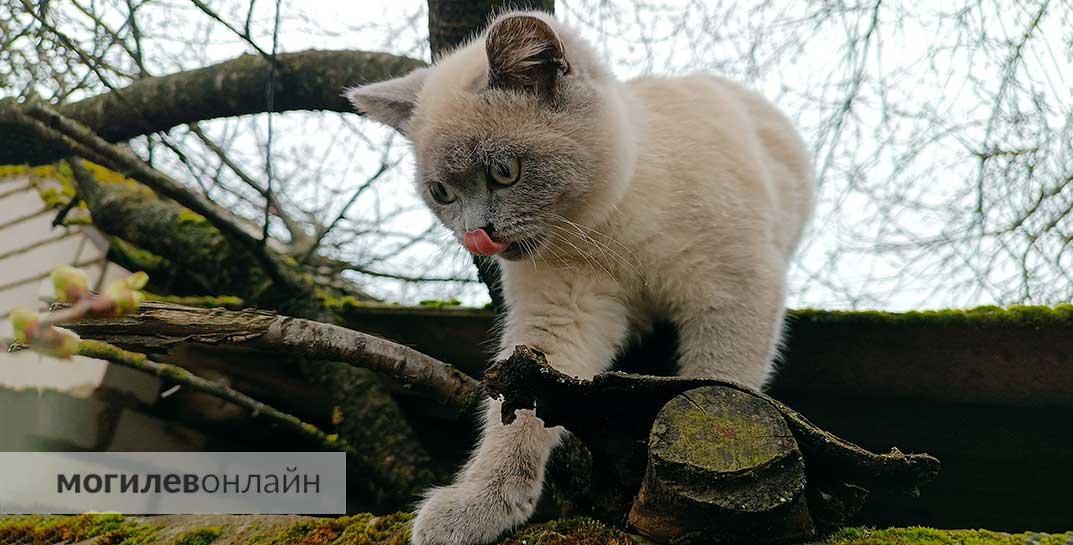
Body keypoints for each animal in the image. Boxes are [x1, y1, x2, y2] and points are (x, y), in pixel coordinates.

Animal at [345, 9, 811, 545]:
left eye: (504, 171)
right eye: (442, 193)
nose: (476, 237)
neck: (612, 227)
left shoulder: (732, 292)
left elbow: (716, 389)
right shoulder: (562, 314)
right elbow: (517, 421)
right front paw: (479, 507)